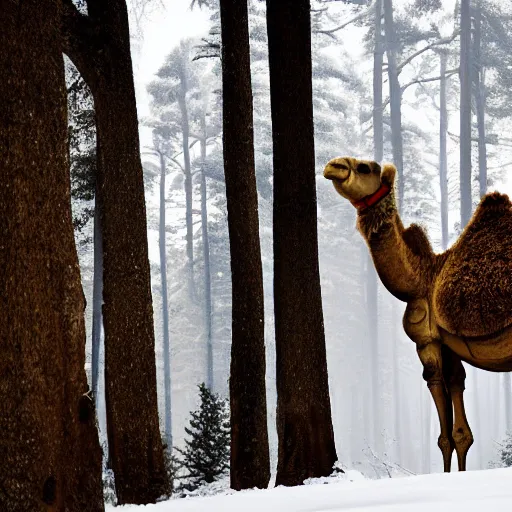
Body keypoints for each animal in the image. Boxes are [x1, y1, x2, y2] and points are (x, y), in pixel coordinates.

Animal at [324, 155, 512, 472]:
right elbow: (461, 427)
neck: (421, 278)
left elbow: (443, 425)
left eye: (365, 167)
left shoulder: (425, 340)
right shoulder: (449, 344)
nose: (333, 166)